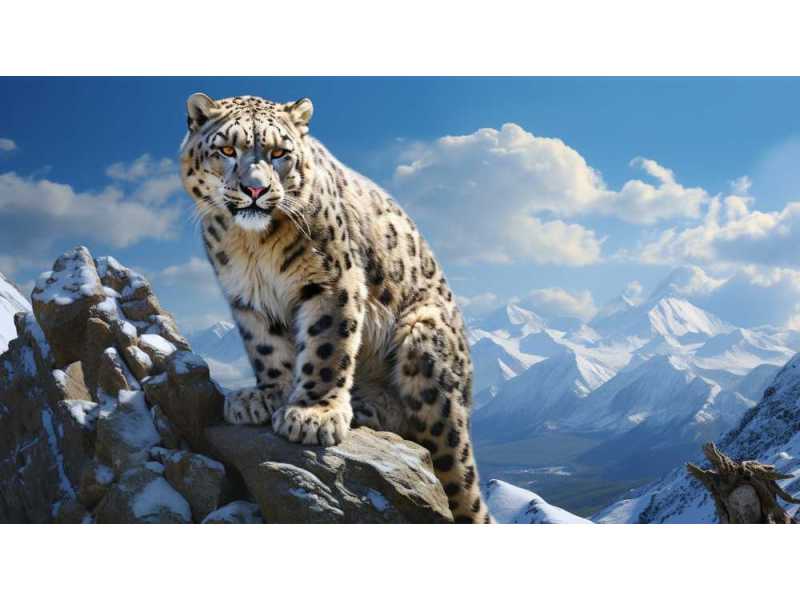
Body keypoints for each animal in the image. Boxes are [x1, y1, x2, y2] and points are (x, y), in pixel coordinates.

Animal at [179, 93, 490, 523]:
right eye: (227, 150)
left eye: (279, 153)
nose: (255, 189)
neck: (251, 247)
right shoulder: (246, 297)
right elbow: (265, 347)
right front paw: (267, 396)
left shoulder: (331, 279)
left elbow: (327, 346)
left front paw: (313, 414)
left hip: (424, 342)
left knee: (445, 456)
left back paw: (365, 406)